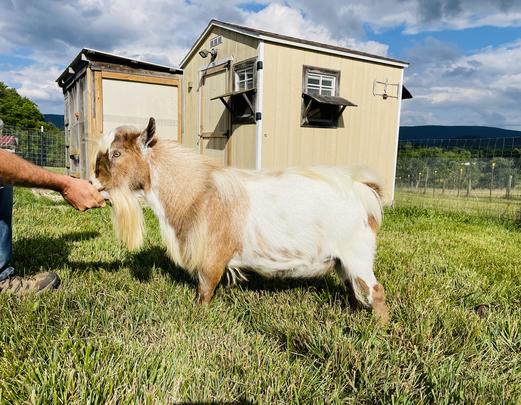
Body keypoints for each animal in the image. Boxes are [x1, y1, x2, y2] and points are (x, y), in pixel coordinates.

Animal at [91, 117, 388, 322]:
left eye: (116, 153)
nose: (93, 182)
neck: (197, 192)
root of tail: (363, 191)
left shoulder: (213, 257)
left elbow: (205, 289)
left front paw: (197, 316)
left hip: (357, 254)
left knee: (375, 290)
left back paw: (378, 329)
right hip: (342, 261)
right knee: (354, 288)